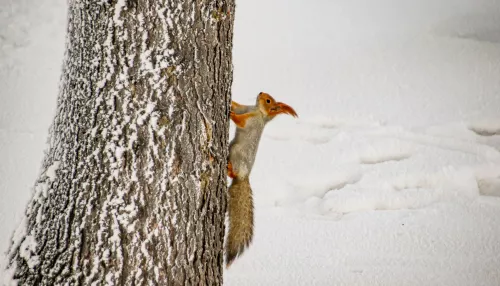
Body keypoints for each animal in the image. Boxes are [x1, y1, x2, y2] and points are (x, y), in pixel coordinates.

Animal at [226, 92, 296, 268]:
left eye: (268, 101)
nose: (260, 93)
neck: (257, 111)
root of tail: (244, 176)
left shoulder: (252, 121)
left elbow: (240, 121)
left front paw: (231, 114)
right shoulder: (246, 108)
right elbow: (238, 105)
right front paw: (231, 102)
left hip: (237, 155)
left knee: (233, 173)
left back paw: (229, 168)